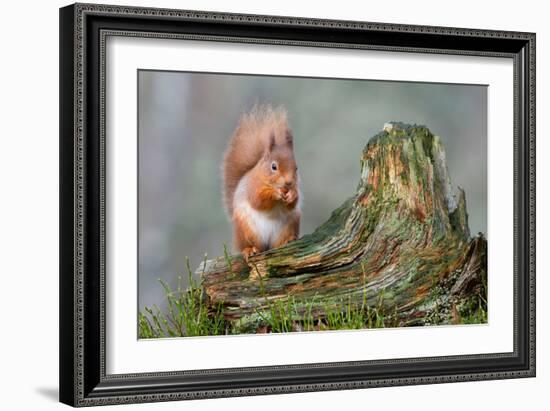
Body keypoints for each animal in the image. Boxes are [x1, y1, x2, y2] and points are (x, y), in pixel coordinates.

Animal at [223, 105, 302, 260]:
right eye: (274, 166)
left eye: (296, 168)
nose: (289, 183)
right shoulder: (252, 187)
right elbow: (258, 200)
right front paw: (275, 193)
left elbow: (292, 204)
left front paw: (292, 195)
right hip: (245, 229)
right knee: (252, 245)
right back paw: (249, 249)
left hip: (290, 223)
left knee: (277, 244)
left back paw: (287, 240)